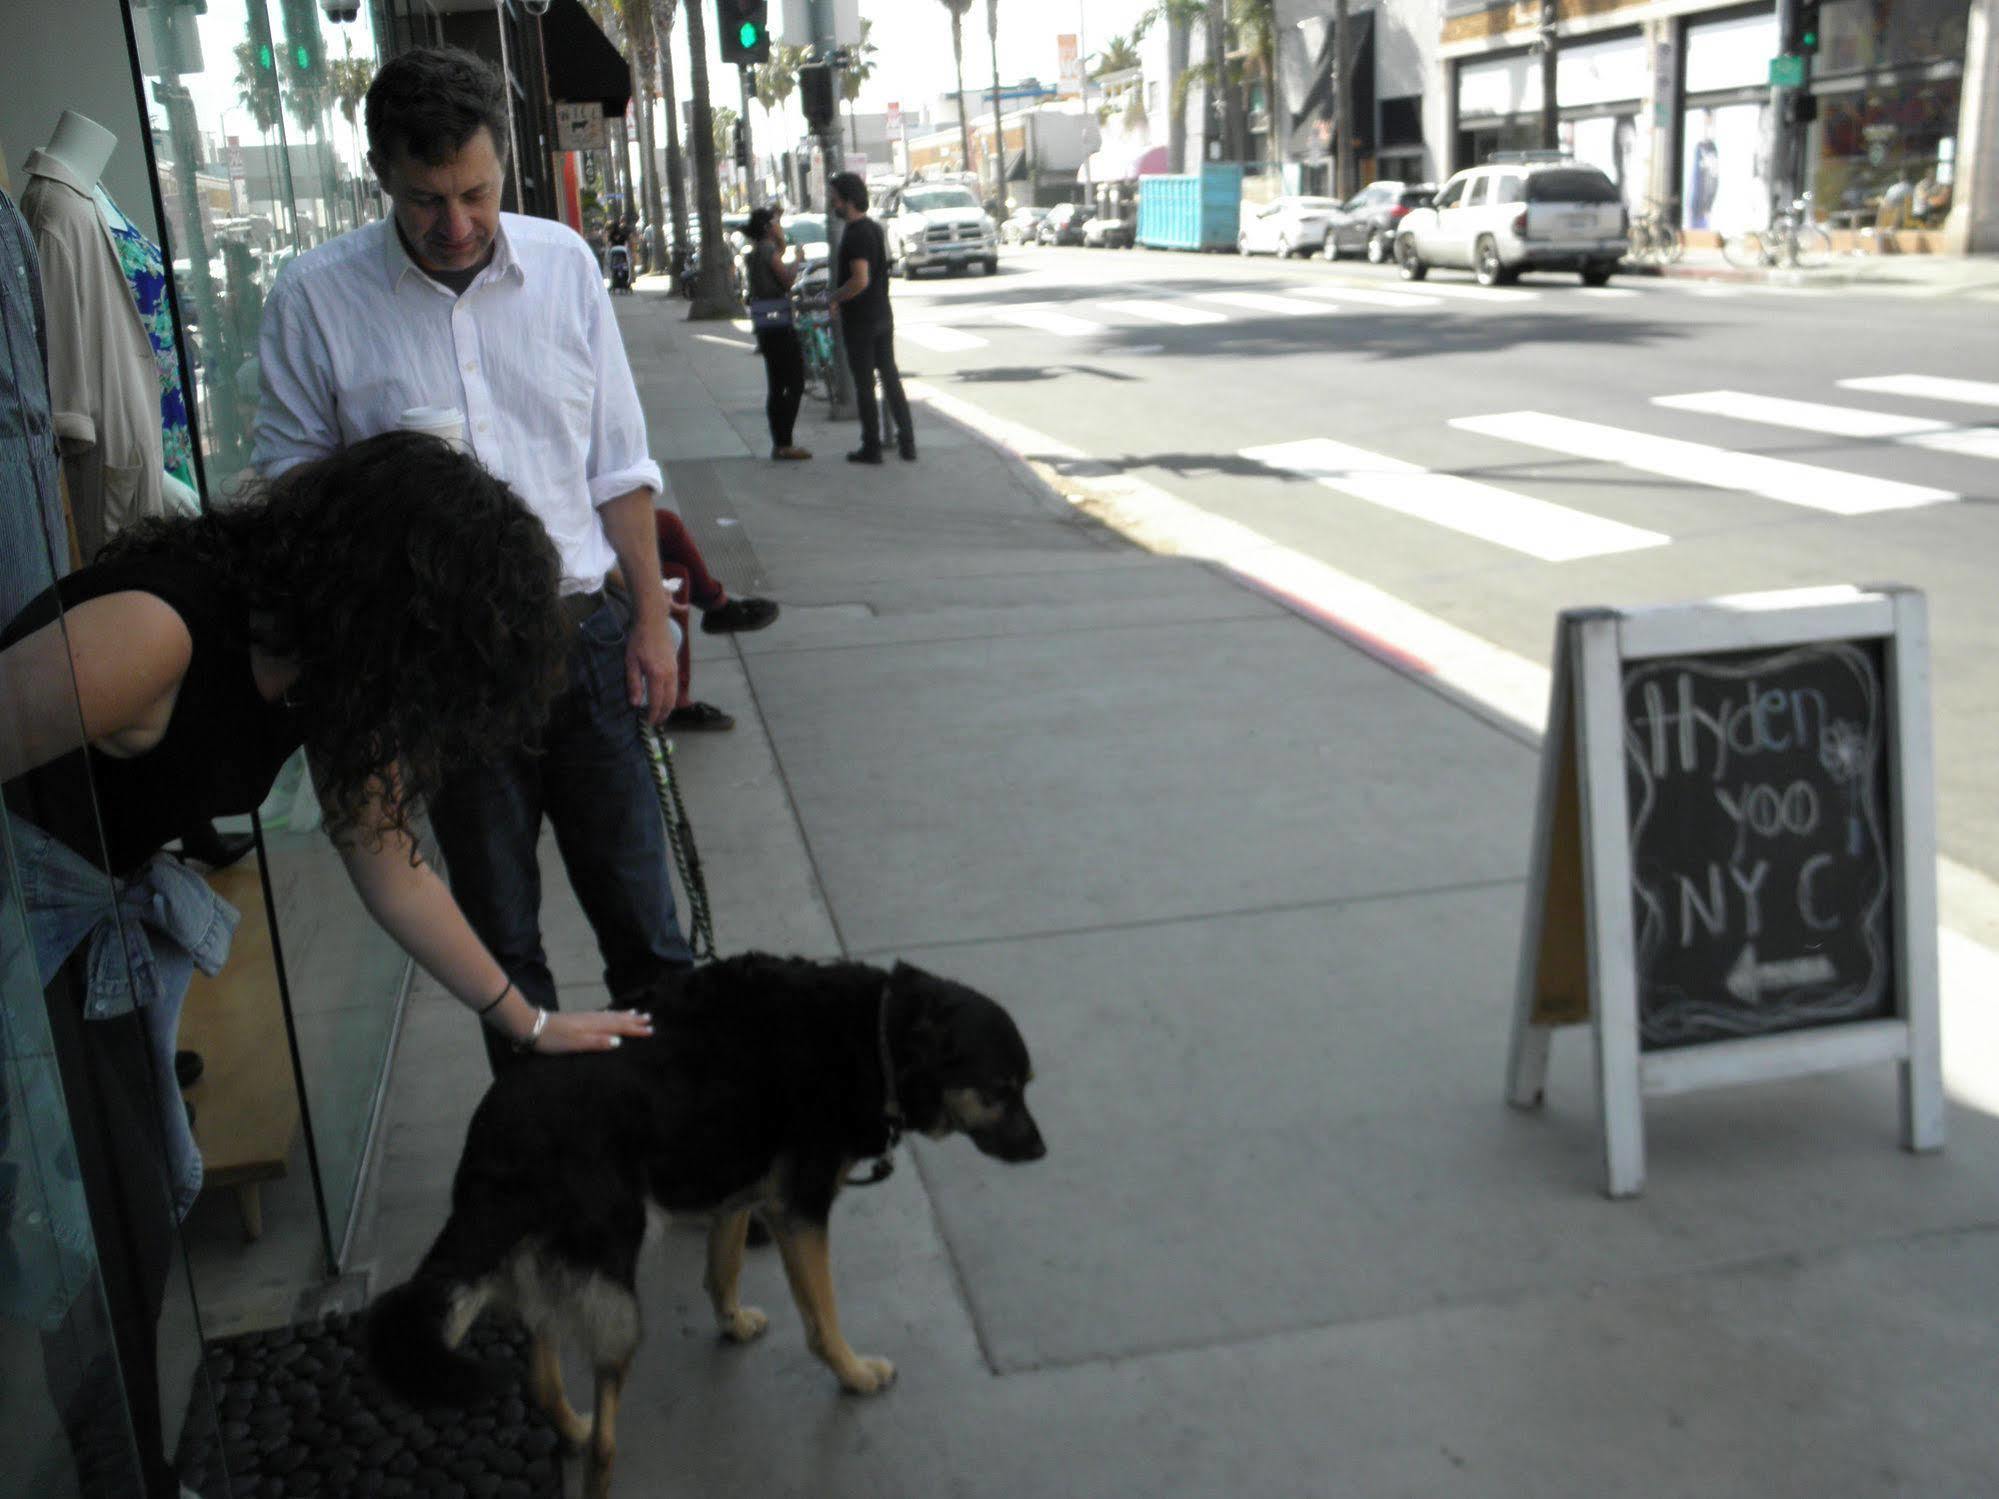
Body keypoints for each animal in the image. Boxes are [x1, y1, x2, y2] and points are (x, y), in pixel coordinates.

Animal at [367, 955, 1047, 1495]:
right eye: (1001, 1088)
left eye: (1023, 1086)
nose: (1042, 1152)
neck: (879, 1033)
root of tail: (499, 1141)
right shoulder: (801, 1211)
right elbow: (822, 1322)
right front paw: (855, 1375)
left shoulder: (740, 1186)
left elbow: (724, 1264)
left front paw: (732, 1322)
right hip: (616, 1289)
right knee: (607, 1440)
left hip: (543, 1270)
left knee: (540, 1375)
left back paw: (571, 1426)